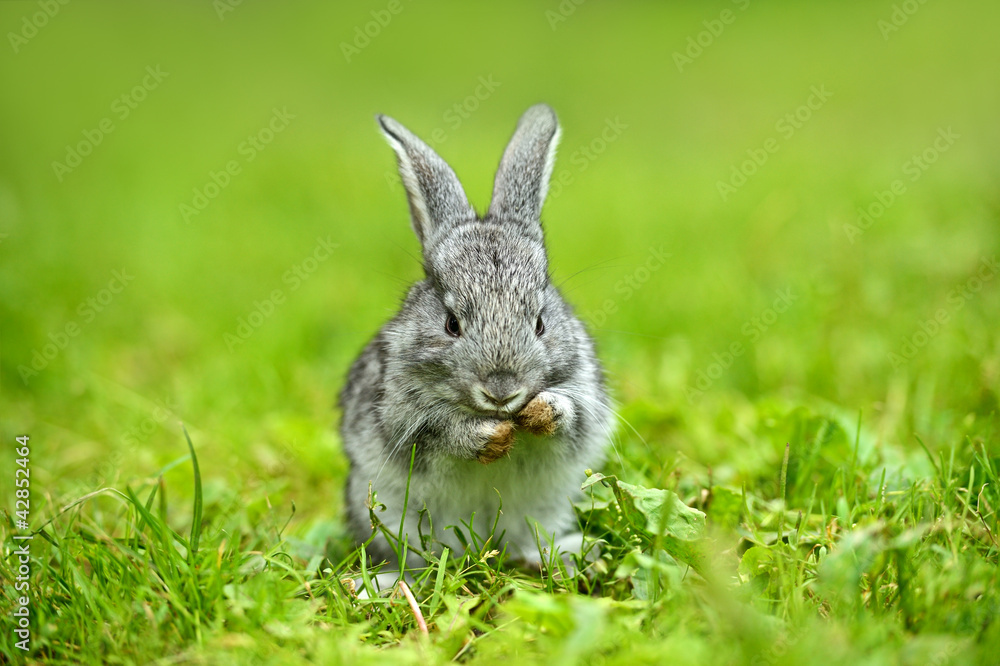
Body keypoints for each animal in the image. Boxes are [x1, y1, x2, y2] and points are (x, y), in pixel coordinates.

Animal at [339, 104, 613, 593]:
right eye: (451, 324)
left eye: (540, 322)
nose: (502, 391)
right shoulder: (401, 416)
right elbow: (438, 433)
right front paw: (489, 437)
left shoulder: (586, 393)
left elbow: (574, 414)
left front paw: (541, 413)